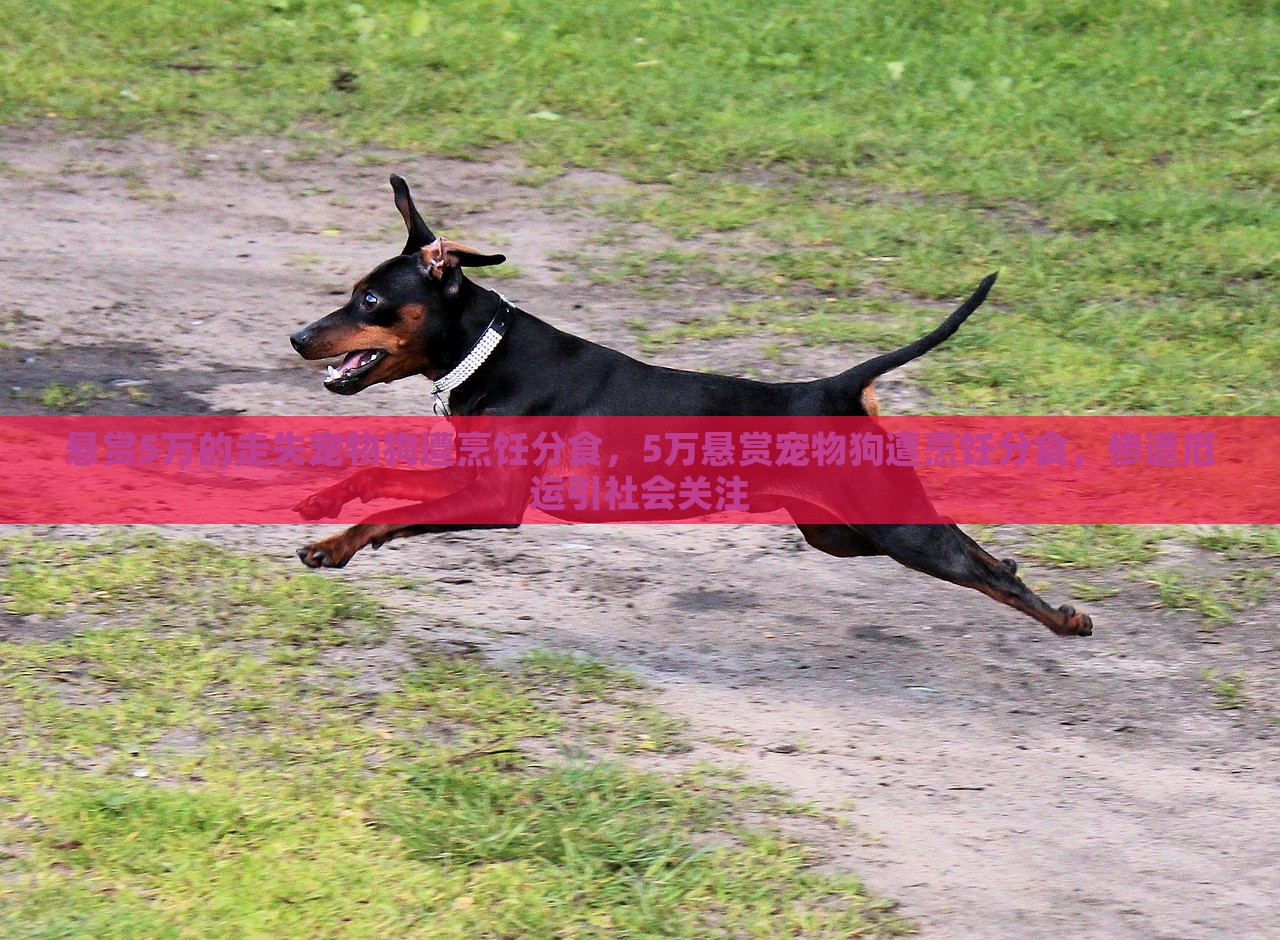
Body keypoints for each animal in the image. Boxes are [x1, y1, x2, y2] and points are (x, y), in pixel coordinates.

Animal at [288, 175, 1090, 640]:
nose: (298, 337)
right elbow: (383, 479)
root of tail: (836, 387)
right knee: (977, 549)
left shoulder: (493, 500)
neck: (490, 350)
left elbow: (400, 508)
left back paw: (1064, 620)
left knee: (983, 570)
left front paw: (336, 544)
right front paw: (329, 501)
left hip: (891, 528)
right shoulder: (469, 479)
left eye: (369, 300)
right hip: (840, 532)